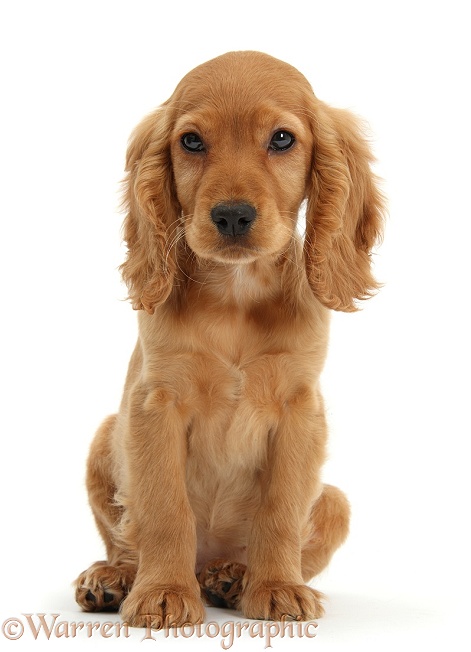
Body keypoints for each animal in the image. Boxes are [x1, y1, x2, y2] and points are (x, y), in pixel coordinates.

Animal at [74, 49, 384, 628]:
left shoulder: (299, 408)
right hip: (106, 437)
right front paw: (163, 592)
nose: (233, 215)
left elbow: (280, 510)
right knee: (126, 540)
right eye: (192, 141)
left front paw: (278, 587)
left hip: (334, 501)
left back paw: (233, 576)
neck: (237, 295)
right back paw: (116, 579)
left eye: (282, 139)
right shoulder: (156, 403)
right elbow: (165, 509)